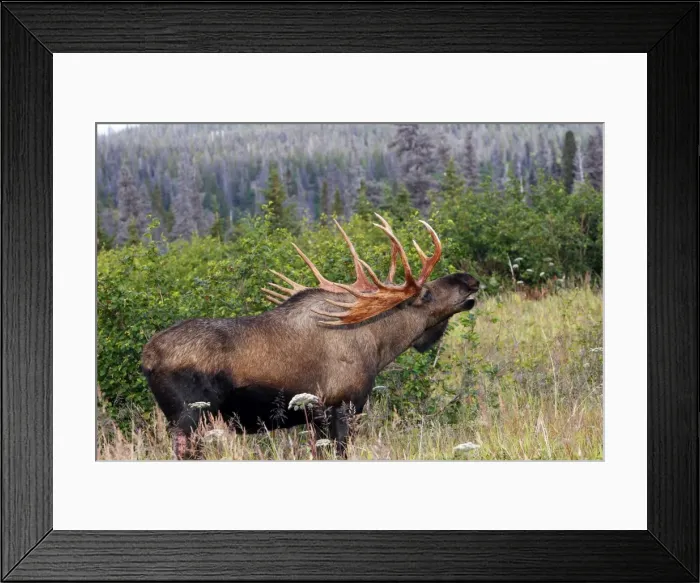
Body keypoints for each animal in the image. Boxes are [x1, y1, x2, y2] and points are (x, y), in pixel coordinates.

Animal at [141, 214, 479, 459]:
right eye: (427, 294)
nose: (470, 280)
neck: (380, 346)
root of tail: (147, 359)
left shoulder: (315, 418)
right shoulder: (340, 407)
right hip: (191, 417)